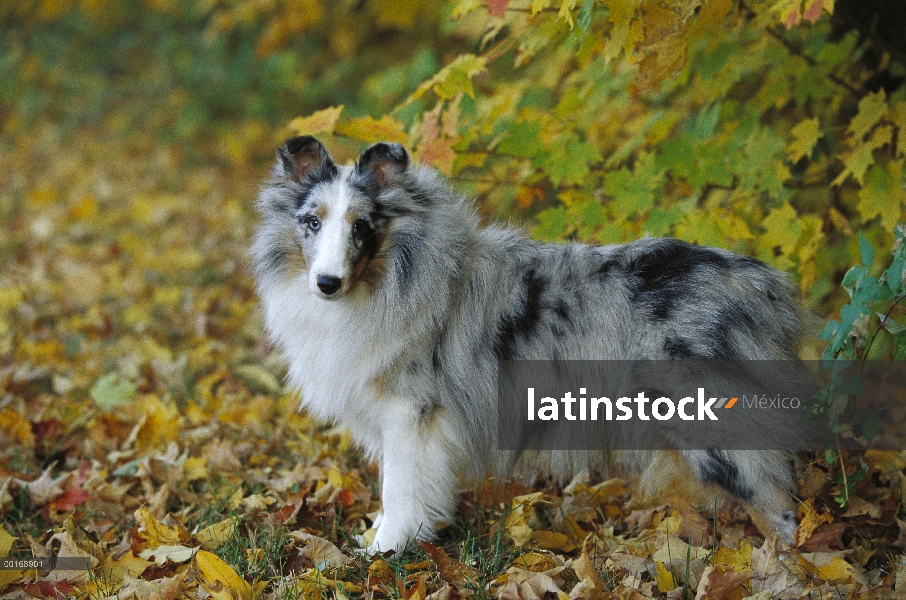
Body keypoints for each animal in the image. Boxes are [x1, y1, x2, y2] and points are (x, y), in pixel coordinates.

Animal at [249, 136, 804, 552]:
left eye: (361, 226)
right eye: (312, 222)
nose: (327, 283)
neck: (387, 281)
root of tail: (762, 284)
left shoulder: (411, 413)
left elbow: (401, 489)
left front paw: (386, 551)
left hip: (712, 429)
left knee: (781, 506)